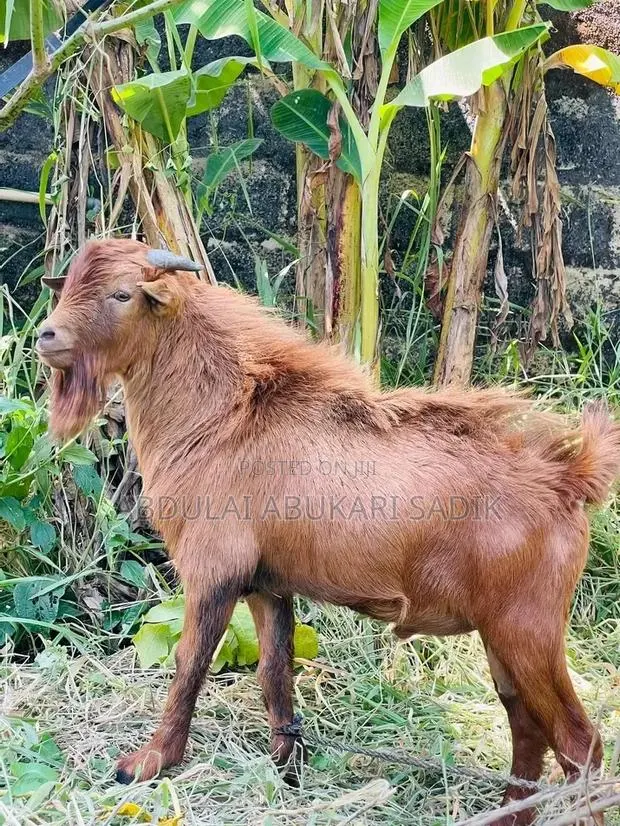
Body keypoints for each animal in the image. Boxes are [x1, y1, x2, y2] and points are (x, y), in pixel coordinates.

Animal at [37, 238, 620, 825]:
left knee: (579, 742)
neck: (226, 415)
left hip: (527, 627)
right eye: (70, 284)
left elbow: (189, 664)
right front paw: (284, 764)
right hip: (503, 631)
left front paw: (147, 762)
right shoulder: (267, 584)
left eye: (122, 293)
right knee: (527, 724)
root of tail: (568, 479)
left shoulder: (213, 571)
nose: (46, 336)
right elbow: (274, 671)